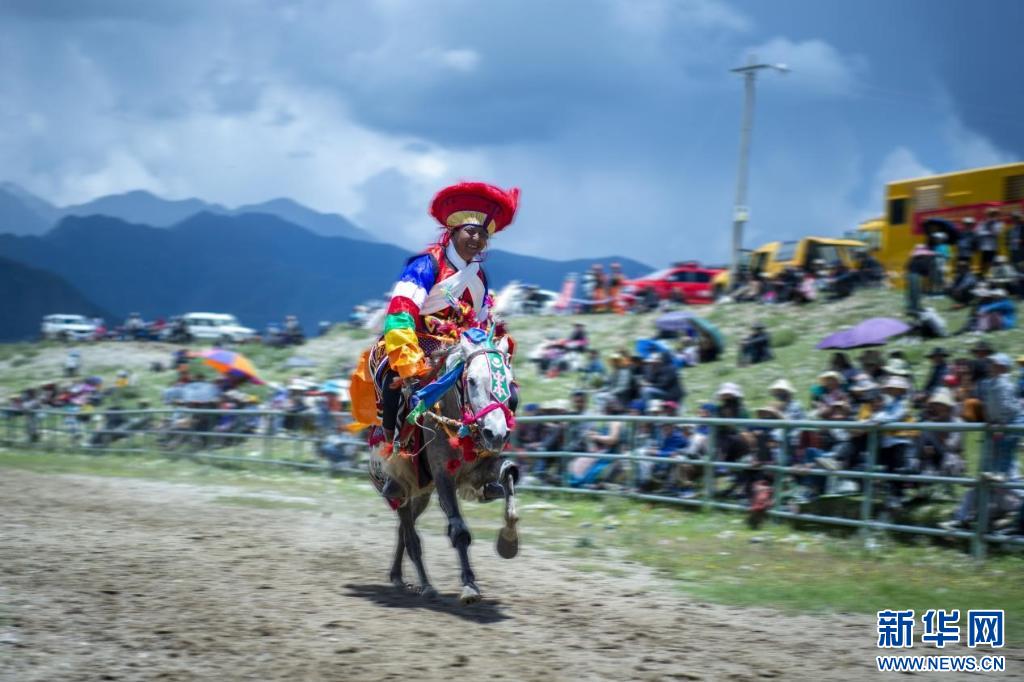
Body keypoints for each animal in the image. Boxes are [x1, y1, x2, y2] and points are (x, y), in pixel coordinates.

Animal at [368, 327, 520, 604]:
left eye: (508, 380)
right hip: (403, 487)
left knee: (404, 530)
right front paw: (469, 586)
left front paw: (508, 542)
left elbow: (509, 477)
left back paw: (398, 576)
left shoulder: (479, 470)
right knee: (410, 535)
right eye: (471, 380)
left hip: (422, 494)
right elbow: (458, 530)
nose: (496, 433)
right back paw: (426, 586)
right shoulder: (443, 477)